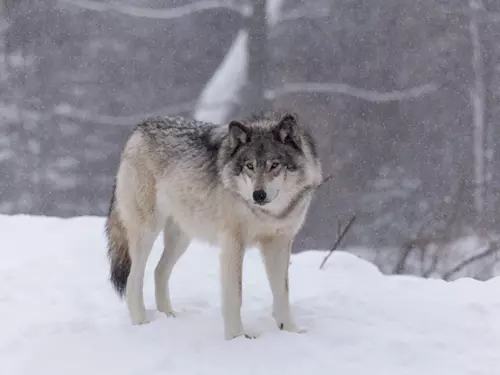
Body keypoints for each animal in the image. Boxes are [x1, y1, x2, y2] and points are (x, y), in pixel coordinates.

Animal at [106, 109, 324, 340]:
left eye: (274, 165)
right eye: (249, 166)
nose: (258, 195)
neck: (269, 214)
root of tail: (140, 128)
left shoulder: (279, 242)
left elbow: (282, 292)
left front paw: (291, 331)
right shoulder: (232, 243)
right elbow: (235, 294)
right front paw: (237, 337)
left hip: (182, 237)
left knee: (159, 271)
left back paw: (169, 316)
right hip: (147, 232)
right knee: (133, 280)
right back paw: (142, 322)